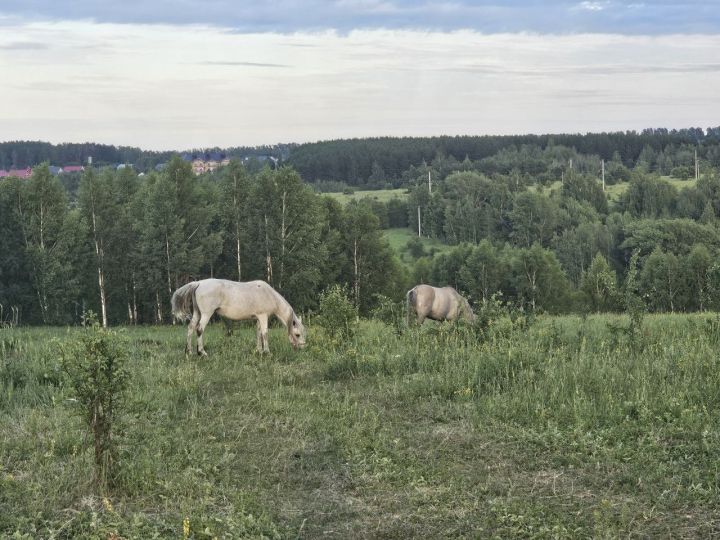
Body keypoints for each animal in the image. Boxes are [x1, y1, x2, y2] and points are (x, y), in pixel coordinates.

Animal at [172, 278, 306, 354]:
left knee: (191, 328)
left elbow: (258, 333)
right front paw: (267, 352)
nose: (302, 348)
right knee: (199, 329)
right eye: (297, 334)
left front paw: (258, 350)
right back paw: (201, 352)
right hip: (206, 314)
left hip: (197, 313)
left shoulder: (258, 318)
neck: (269, 294)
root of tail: (198, 283)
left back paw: (189, 352)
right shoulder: (263, 316)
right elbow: (265, 333)